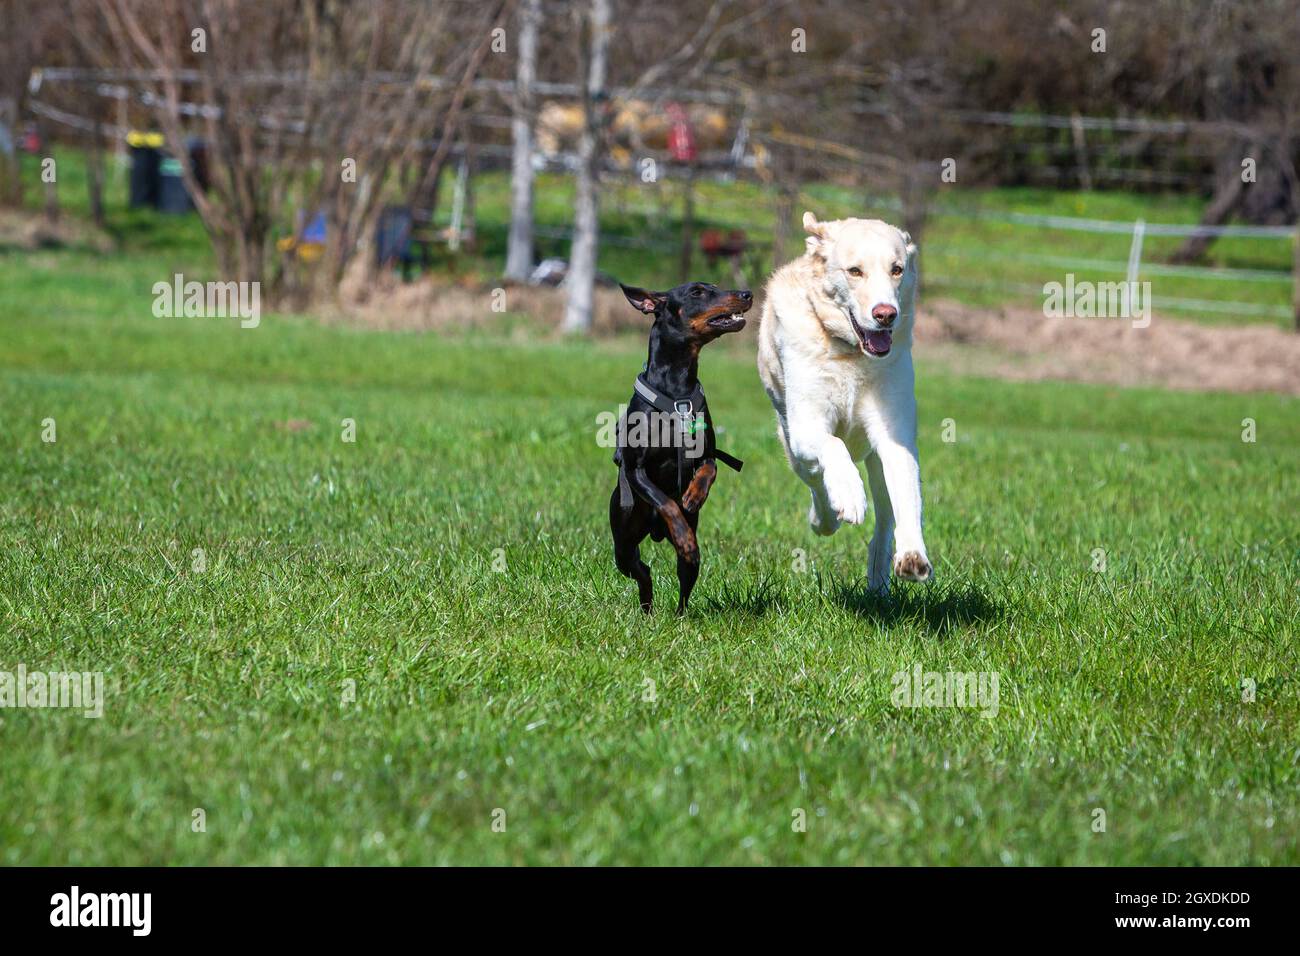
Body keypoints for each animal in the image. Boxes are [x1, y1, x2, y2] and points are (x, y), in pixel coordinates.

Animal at [608, 282, 754, 613]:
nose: (747, 294)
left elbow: (709, 470)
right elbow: (665, 501)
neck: (676, 389)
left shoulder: (707, 453)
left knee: (685, 576)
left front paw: (694, 496)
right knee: (641, 569)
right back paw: (648, 607)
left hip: (687, 565)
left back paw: (677, 616)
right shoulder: (634, 468)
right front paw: (683, 534)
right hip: (623, 543)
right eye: (697, 292)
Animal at [759, 213, 930, 595]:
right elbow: (832, 446)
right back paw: (826, 515)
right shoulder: (806, 426)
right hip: (793, 446)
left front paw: (913, 554)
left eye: (897, 269)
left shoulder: (895, 438)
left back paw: (879, 579)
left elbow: (907, 496)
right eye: (855, 271)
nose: (886, 314)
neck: (851, 353)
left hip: (874, 460)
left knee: (884, 518)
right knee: (817, 481)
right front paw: (849, 495)